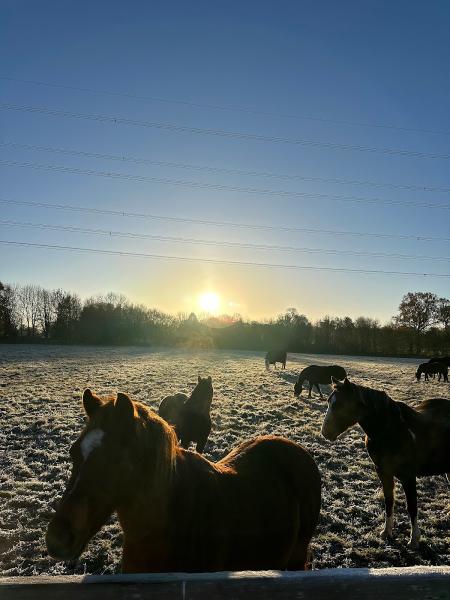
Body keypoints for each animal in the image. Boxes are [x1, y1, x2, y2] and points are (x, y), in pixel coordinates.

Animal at [320, 380, 450, 548]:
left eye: (341, 404)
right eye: (329, 401)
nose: (325, 432)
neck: (391, 430)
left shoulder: (408, 477)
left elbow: (412, 506)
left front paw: (414, 539)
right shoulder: (383, 472)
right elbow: (389, 501)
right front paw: (386, 532)